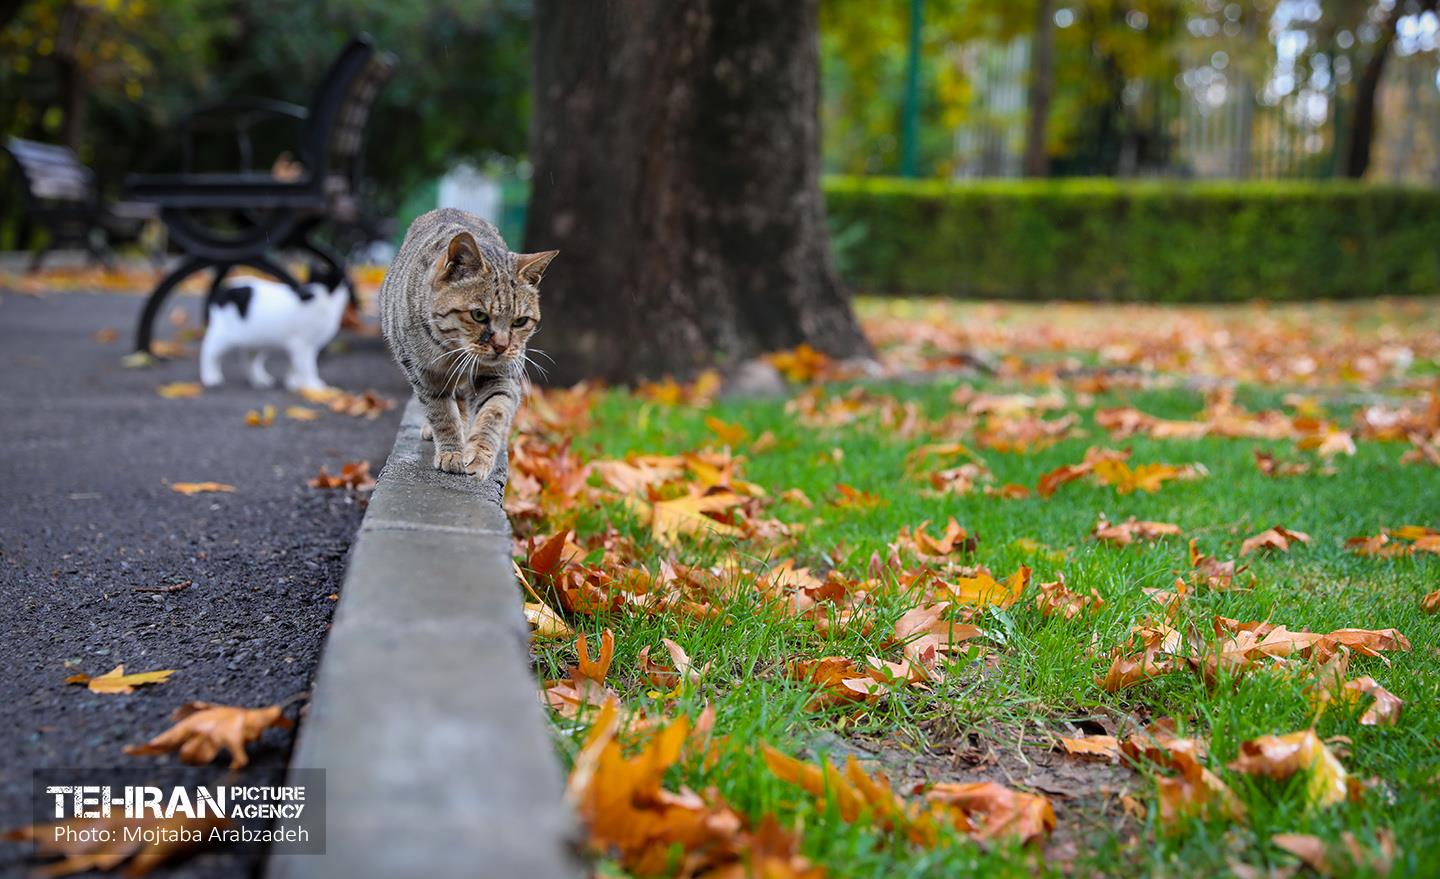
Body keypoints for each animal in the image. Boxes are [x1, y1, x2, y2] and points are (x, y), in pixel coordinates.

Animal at [198, 265, 349, 391]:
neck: (320, 294)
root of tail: (225, 290)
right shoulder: (302, 345)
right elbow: (308, 366)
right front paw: (313, 385)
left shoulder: (298, 348)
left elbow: (294, 365)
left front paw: (293, 382)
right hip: (223, 336)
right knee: (209, 351)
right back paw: (210, 377)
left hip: (256, 340)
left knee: (249, 360)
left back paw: (259, 380)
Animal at [380, 208, 558, 475]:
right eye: (479, 315)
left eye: (520, 321)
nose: (502, 346)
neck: (455, 351)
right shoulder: (425, 376)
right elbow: (442, 414)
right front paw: (452, 451)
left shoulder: (501, 375)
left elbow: (494, 413)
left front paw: (479, 454)